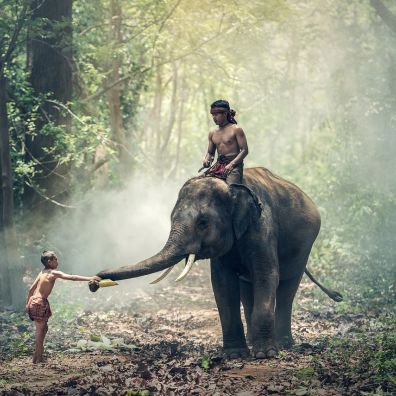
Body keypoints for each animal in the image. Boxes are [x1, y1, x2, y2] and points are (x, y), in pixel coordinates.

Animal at [89, 167, 340, 358]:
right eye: (171, 218)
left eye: (203, 222)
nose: (94, 282)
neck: (231, 187)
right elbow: (222, 284)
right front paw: (235, 355)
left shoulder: (262, 228)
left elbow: (267, 275)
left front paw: (264, 355)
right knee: (248, 289)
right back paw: (254, 341)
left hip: (305, 246)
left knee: (287, 287)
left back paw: (283, 344)